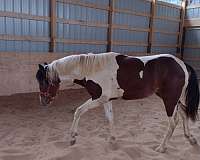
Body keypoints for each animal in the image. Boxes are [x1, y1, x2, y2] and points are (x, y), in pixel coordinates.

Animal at [36, 52, 198, 152]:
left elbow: (78, 111)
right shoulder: (106, 100)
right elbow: (110, 118)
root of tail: (182, 64)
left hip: (169, 100)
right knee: (184, 113)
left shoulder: (98, 98)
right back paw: (190, 138)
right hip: (174, 100)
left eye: (43, 81)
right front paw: (112, 140)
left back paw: (161, 148)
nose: (43, 101)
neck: (91, 69)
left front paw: (72, 137)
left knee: (173, 122)